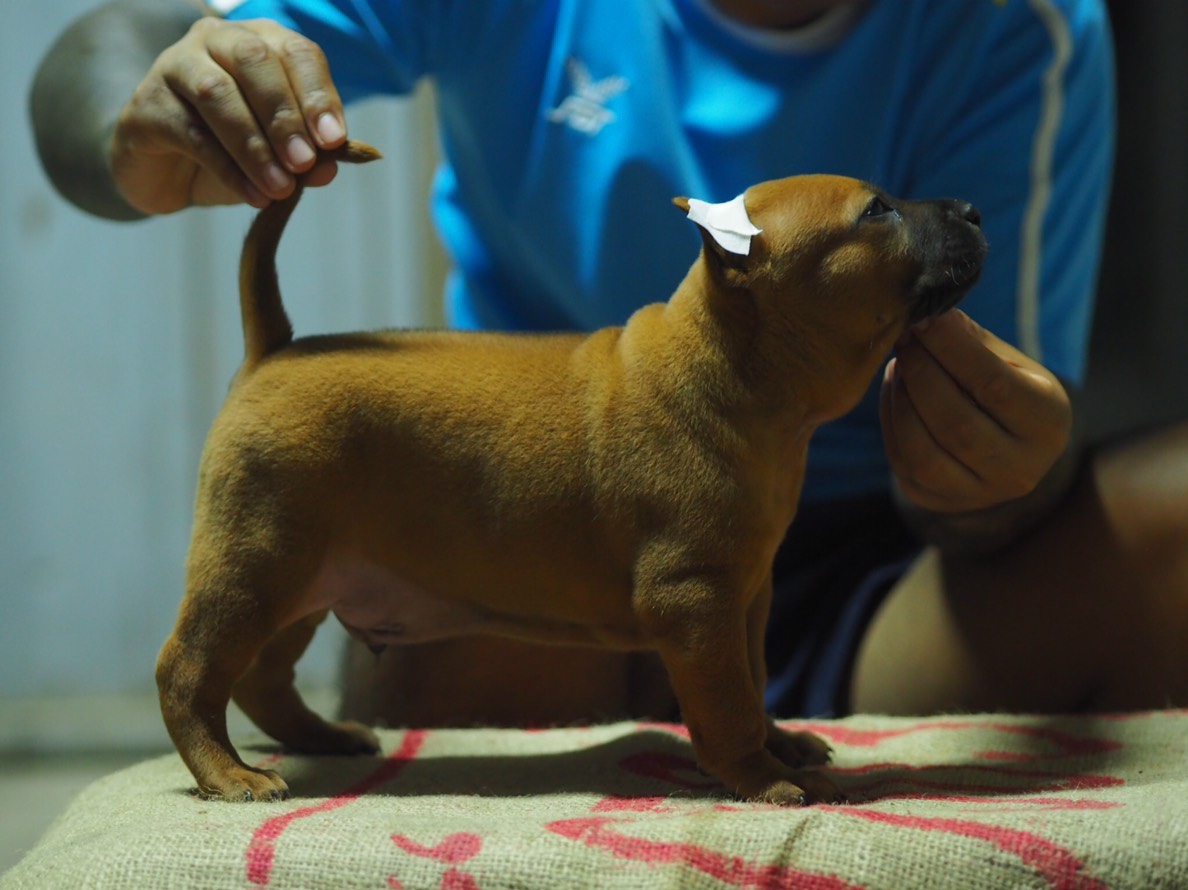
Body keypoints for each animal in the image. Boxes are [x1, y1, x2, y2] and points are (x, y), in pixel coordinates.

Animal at [156, 141, 986, 805]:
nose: (976, 208)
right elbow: (725, 704)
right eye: (877, 211)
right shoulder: (697, 602)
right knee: (189, 671)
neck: (731, 369)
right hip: (256, 563)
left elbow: (751, 684)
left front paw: (778, 743)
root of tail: (274, 350)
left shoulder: (748, 596)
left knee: (260, 677)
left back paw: (321, 739)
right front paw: (760, 777)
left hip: (302, 579)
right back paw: (227, 776)